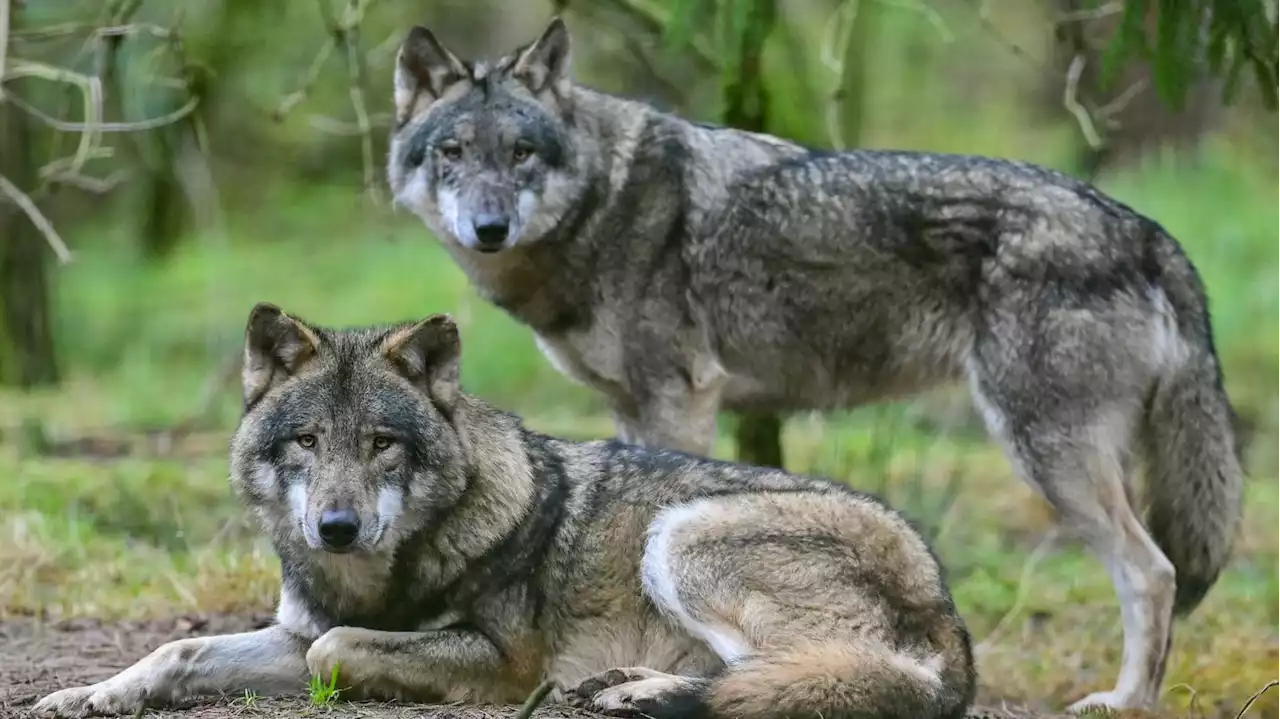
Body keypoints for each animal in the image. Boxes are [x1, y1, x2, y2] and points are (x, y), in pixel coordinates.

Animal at [32, 301, 977, 716]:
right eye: (306, 441)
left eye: (382, 442)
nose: (335, 527)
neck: (381, 576)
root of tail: (950, 617)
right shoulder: (297, 630)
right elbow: (182, 648)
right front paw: (89, 694)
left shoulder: (501, 659)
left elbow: (338, 652)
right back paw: (630, 688)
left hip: (682, 534)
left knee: (823, 677)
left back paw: (647, 692)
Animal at [384, 15, 1244, 711]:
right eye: (452, 152)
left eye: (522, 153)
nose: (488, 227)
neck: (607, 200)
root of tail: (1146, 229)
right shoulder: (632, 408)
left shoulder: (677, 401)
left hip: (1047, 455)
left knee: (1153, 572)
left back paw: (1126, 700)